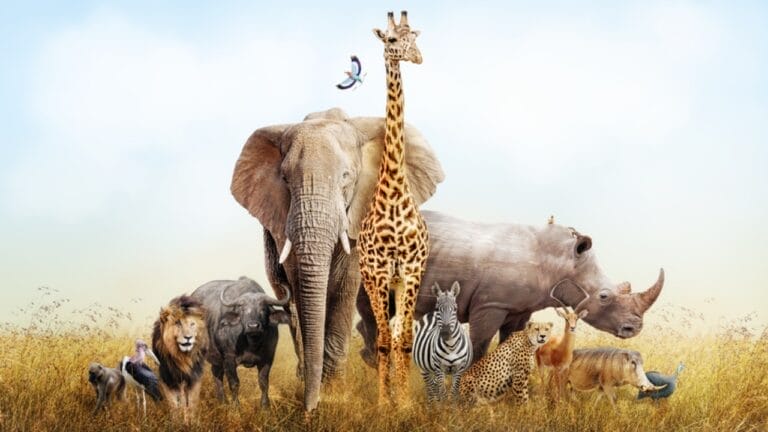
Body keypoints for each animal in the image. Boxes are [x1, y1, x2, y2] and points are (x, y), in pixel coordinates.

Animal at [151, 295, 208, 423]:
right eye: (178, 323)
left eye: (192, 324)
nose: (188, 337)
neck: (182, 357)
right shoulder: (167, 377)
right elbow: (174, 404)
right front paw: (176, 422)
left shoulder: (194, 377)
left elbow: (191, 403)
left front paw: (191, 422)